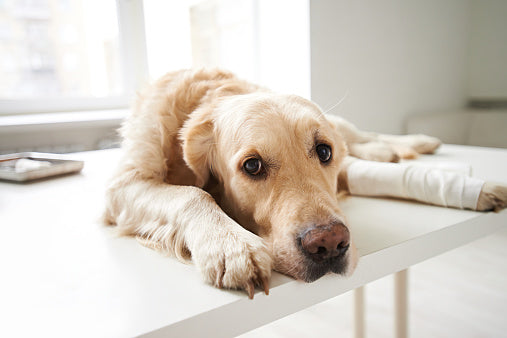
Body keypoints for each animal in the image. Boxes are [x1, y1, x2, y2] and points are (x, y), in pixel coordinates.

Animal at [104, 68, 507, 298]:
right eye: (252, 166)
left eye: (323, 151)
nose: (330, 244)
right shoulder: (123, 185)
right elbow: (191, 193)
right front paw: (231, 245)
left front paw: (478, 189)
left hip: (342, 125)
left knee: (362, 135)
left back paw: (415, 143)